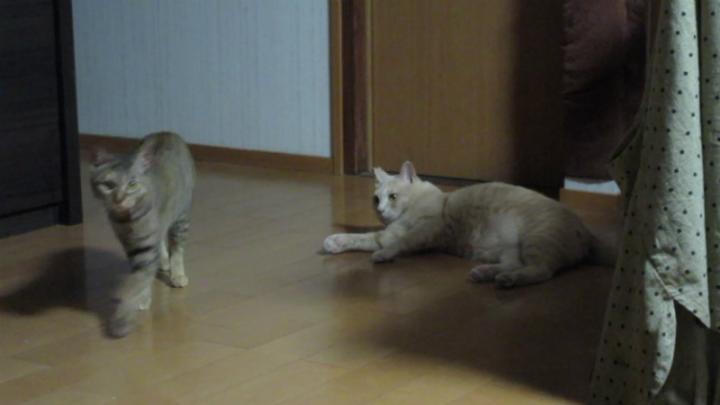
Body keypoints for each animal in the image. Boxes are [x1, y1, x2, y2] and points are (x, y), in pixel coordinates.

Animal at [90, 131, 195, 337]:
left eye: (132, 184)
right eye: (109, 185)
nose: (119, 199)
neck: (128, 221)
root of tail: (167, 132)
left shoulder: (145, 246)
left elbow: (140, 278)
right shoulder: (132, 246)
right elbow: (140, 275)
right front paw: (142, 297)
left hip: (181, 216)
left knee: (177, 247)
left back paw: (177, 274)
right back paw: (163, 262)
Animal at [322, 161, 614, 287]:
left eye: (392, 196)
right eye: (376, 199)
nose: (381, 209)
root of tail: (587, 231)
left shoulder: (425, 231)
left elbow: (396, 243)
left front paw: (383, 255)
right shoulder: (387, 232)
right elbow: (364, 237)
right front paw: (335, 242)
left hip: (537, 239)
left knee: (540, 271)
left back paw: (506, 280)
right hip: (512, 248)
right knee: (516, 265)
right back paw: (485, 273)